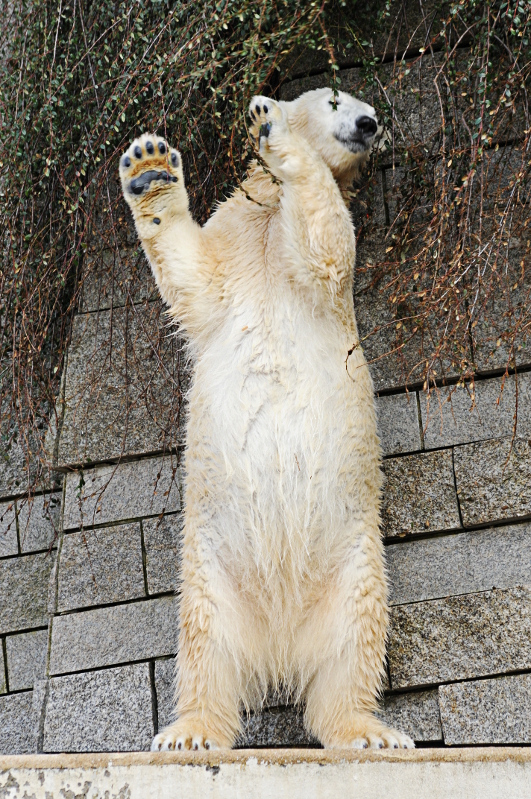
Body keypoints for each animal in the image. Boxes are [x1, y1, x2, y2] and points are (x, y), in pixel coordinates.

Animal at [119, 87, 414, 751]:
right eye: (335, 99)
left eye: (361, 104)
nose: (369, 123)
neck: (268, 213)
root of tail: (280, 644)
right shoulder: (237, 235)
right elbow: (194, 279)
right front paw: (149, 166)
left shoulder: (324, 263)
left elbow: (325, 244)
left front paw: (273, 126)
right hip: (209, 573)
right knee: (205, 650)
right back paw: (191, 731)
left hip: (356, 565)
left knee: (354, 647)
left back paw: (367, 731)